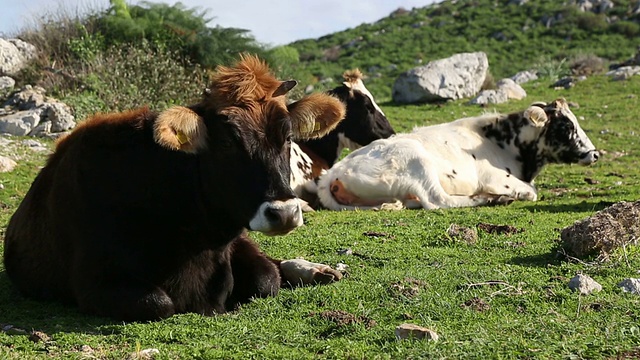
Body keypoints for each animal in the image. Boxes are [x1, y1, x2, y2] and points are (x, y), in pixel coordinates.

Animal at [2, 54, 348, 320]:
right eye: (226, 142)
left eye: (287, 137)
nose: (285, 213)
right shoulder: (93, 282)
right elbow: (159, 302)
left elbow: (266, 279)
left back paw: (318, 271)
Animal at [318, 98, 600, 211]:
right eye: (565, 126)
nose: (594, 154)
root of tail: (332, 173)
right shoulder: (497, 179)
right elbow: (531, 192)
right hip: (417, 161)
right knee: (438, 200)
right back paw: (490, 199)